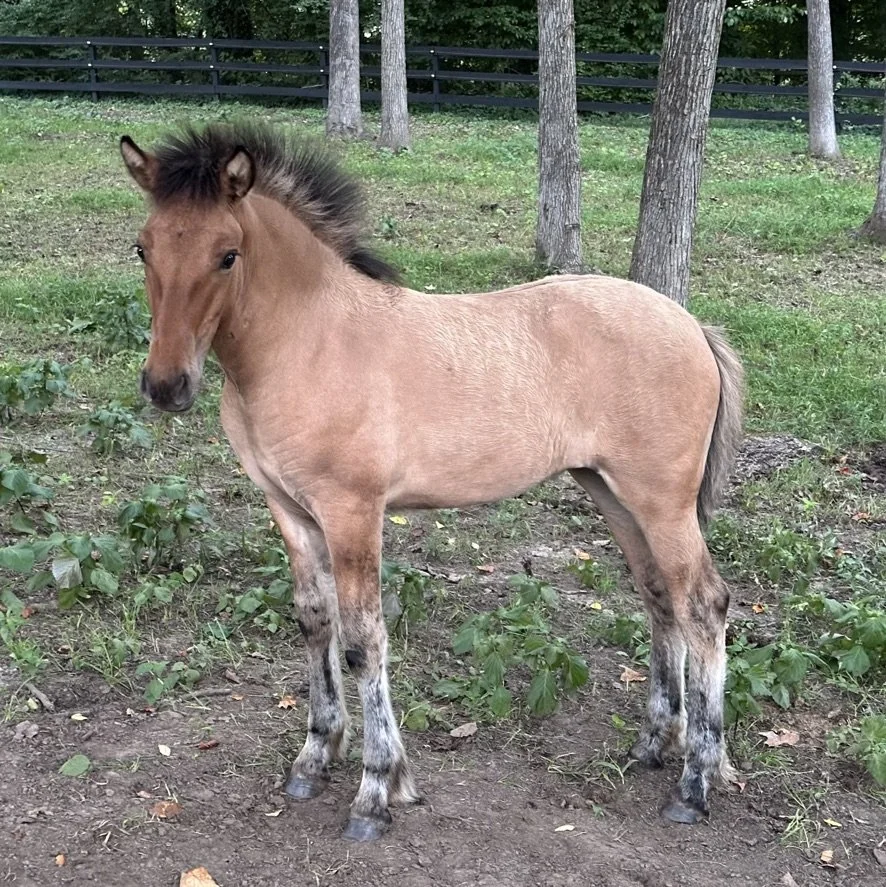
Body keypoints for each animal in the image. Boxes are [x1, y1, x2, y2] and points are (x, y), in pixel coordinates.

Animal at [119, 122, 743, 841]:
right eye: (143, 246)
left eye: (228, 255)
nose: (167, 385)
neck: (309, 341)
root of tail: (692, 324)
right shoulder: (289, 508)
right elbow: (315, 621)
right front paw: (315, 757)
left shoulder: (352, 510)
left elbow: (363, 641)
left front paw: (376, 790)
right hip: (612, 493)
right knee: (659, 596)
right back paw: (652, 745)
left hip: (662, 502)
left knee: (704, 605)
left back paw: (695, 782)